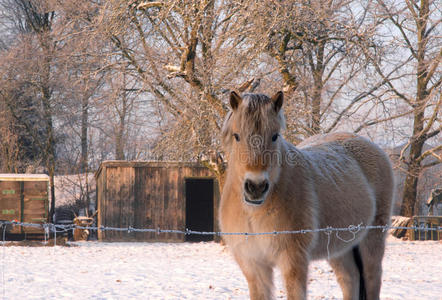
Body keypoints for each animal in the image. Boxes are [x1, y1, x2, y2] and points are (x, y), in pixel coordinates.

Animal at [219, 92, 396, 300]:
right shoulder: (254, 266)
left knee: (371, 278)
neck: (253, 213)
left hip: (372, 241)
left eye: (275, 136)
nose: (256, 187)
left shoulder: (293, 262)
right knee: (350, 278)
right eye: (236, 136)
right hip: (339, 248)